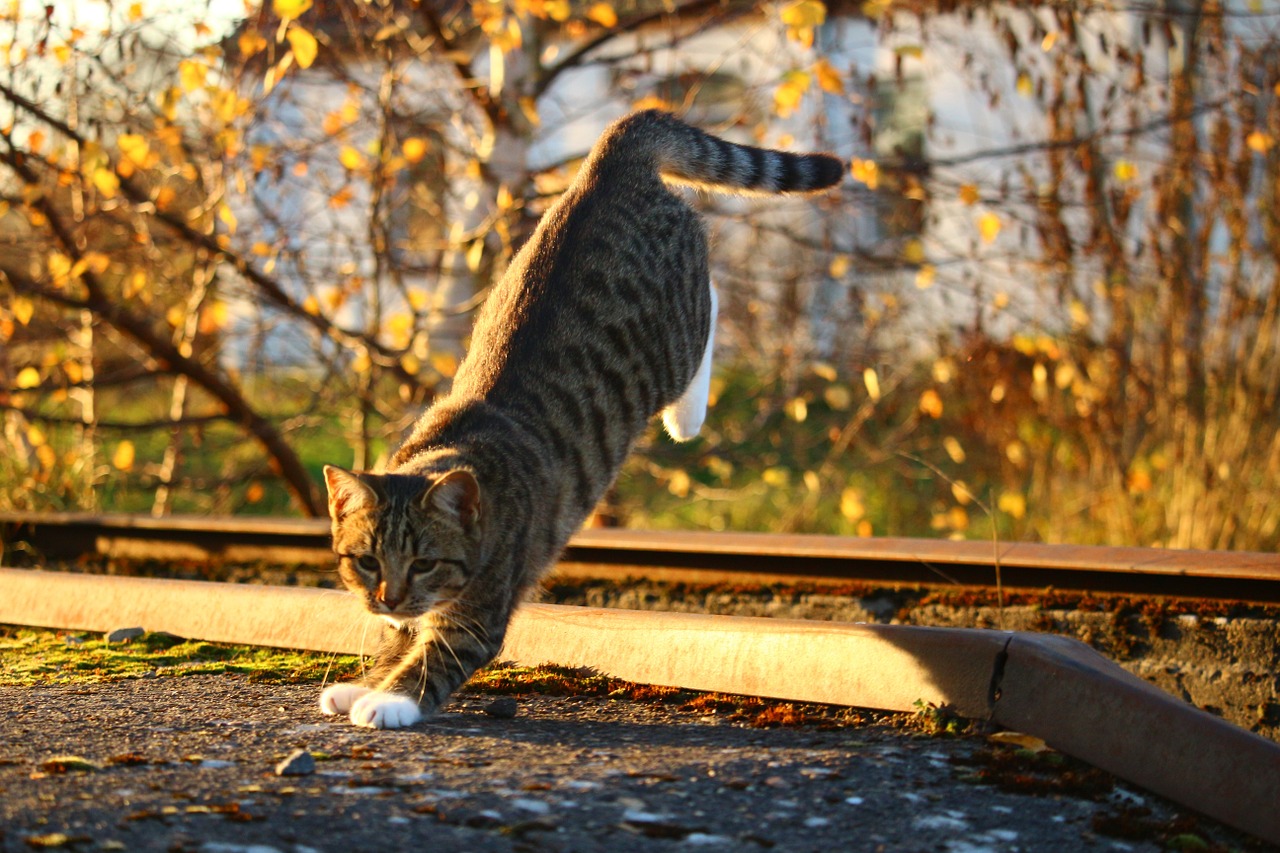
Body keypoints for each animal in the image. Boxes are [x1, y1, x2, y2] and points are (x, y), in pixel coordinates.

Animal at [317, 109, 839, 727]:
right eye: (367, 562)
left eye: (423, 564)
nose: (389, 598)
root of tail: (606, 163)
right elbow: (398, 641)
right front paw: (363, 682)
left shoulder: (482, 609)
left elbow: (435, 656)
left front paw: (389, 699)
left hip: (679, 334)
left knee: (710, 304)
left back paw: (687, 416)